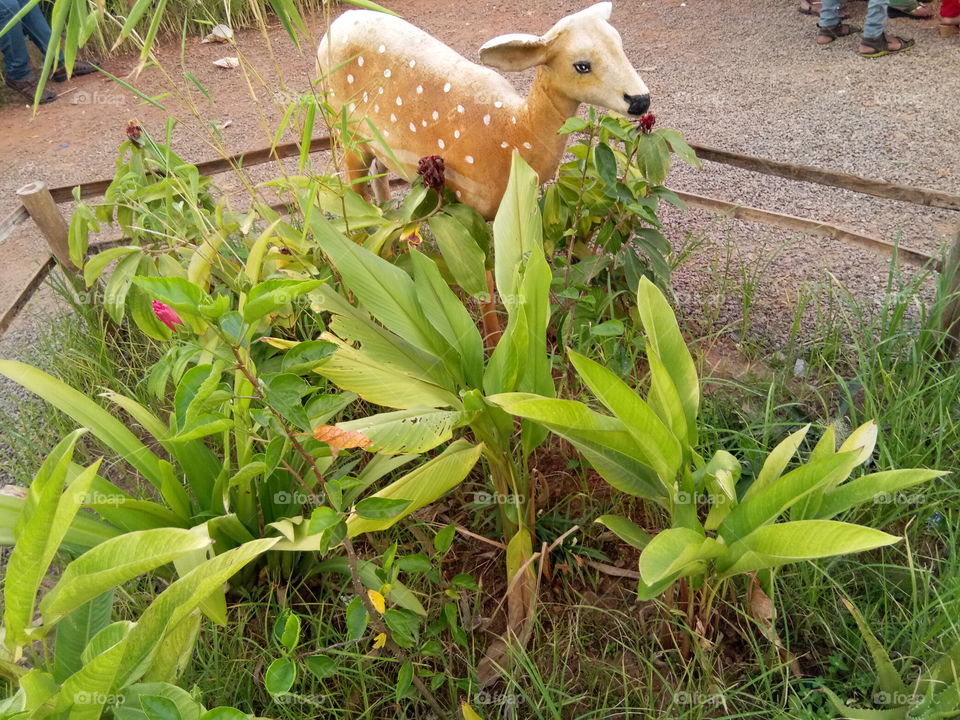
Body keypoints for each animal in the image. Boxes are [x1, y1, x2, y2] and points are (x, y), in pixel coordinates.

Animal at [316, 2, 650, 221]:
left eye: (620, 45)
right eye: (582, 65)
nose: (641, 100)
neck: (514, 132)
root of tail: (338, 21)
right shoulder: (469, 199)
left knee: (379, 174)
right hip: (341, 125)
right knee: (355, 187)